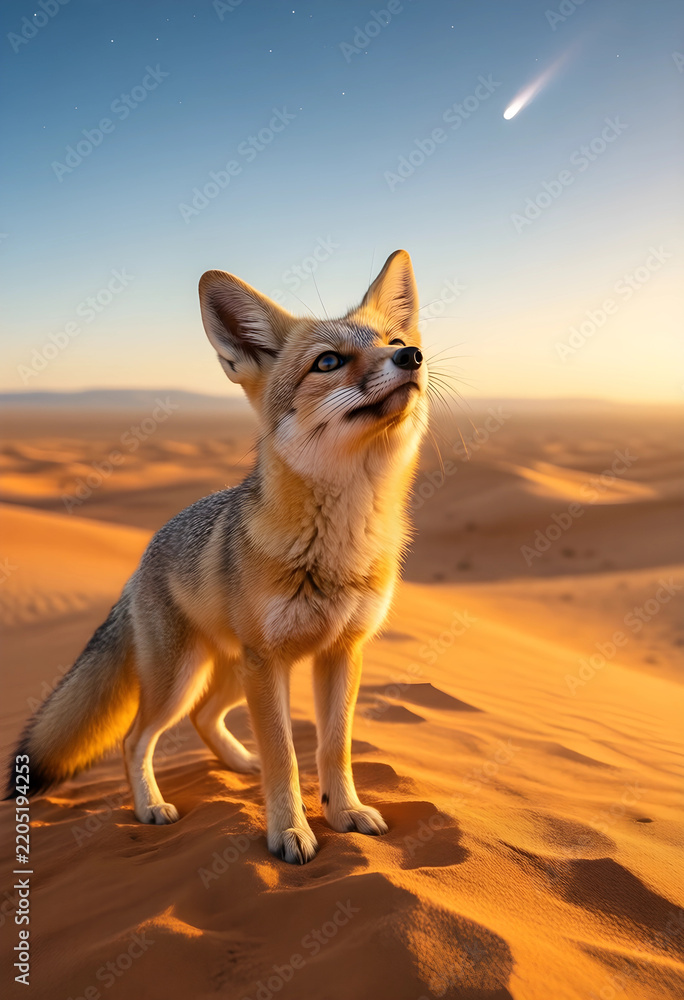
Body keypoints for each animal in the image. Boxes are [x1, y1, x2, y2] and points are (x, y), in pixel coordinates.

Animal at [6, 249, 429, 864]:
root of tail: (140, 561)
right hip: (189, 678)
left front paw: (344, 812)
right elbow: (285, 755)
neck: (337, 547)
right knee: (135, 738)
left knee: (206, 719)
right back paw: (151, 806)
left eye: (394, 339)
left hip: (230, 674)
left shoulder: (342, 653)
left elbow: (334, 748)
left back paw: (236, 764)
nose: (411, 356)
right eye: (328, 361)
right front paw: (289, 831)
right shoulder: (270, 662)